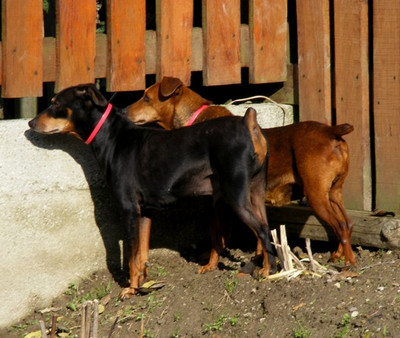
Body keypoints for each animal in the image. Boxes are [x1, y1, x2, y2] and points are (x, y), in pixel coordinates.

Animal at [28, 84, 276, 298]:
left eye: (55, 103)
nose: (30, 123)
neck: (113, 138)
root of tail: (247, 122)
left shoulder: (129, 210)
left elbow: (131, 255)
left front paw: (130, 290)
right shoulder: (145, 211)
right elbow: (141, 255)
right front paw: (142, 282)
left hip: (236, 195)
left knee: (263, 230)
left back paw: (269, 271)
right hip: (254, 192)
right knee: (266, 227)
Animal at [126, 76, 356, 270]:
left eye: (146, 98)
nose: (124, 112)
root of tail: (331, 131)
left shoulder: (217, 202)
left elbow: (216, 234)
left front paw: (210, 265)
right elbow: (230, 235)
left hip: (316, 195)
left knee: (340, 227)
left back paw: (348, 265)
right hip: (333, 193)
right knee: (347, 223)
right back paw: (339, 256)